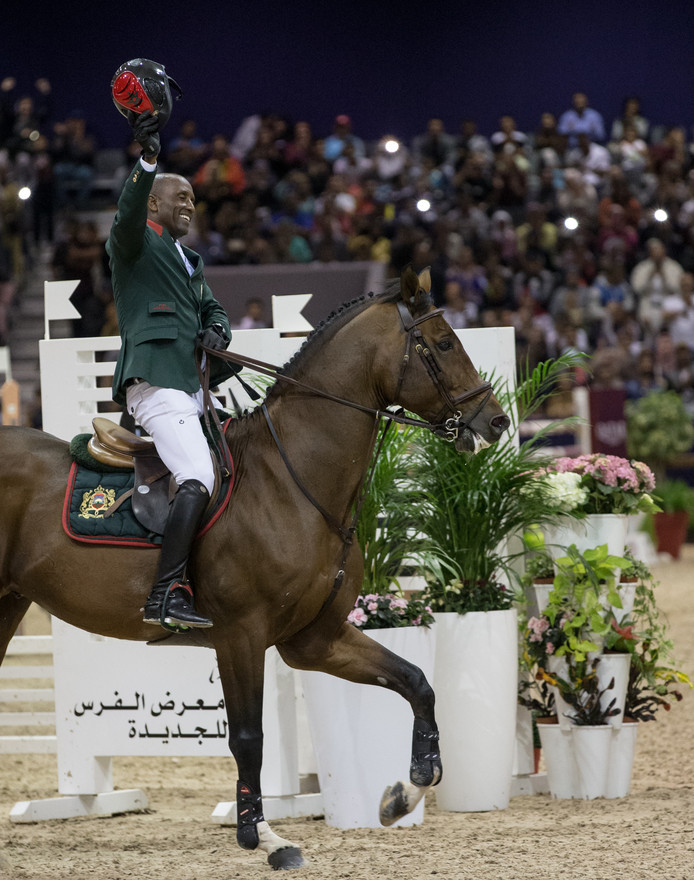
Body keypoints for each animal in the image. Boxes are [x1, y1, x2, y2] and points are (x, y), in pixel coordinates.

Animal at [0, 264, 512, 868]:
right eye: (444, 342)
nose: (496, 422)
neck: (294, 479)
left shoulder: (314, 639)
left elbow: (416, 681)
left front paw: (406, 790)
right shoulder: (240, 635)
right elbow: (248, 738)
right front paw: (261, 835)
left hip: (8, 603)